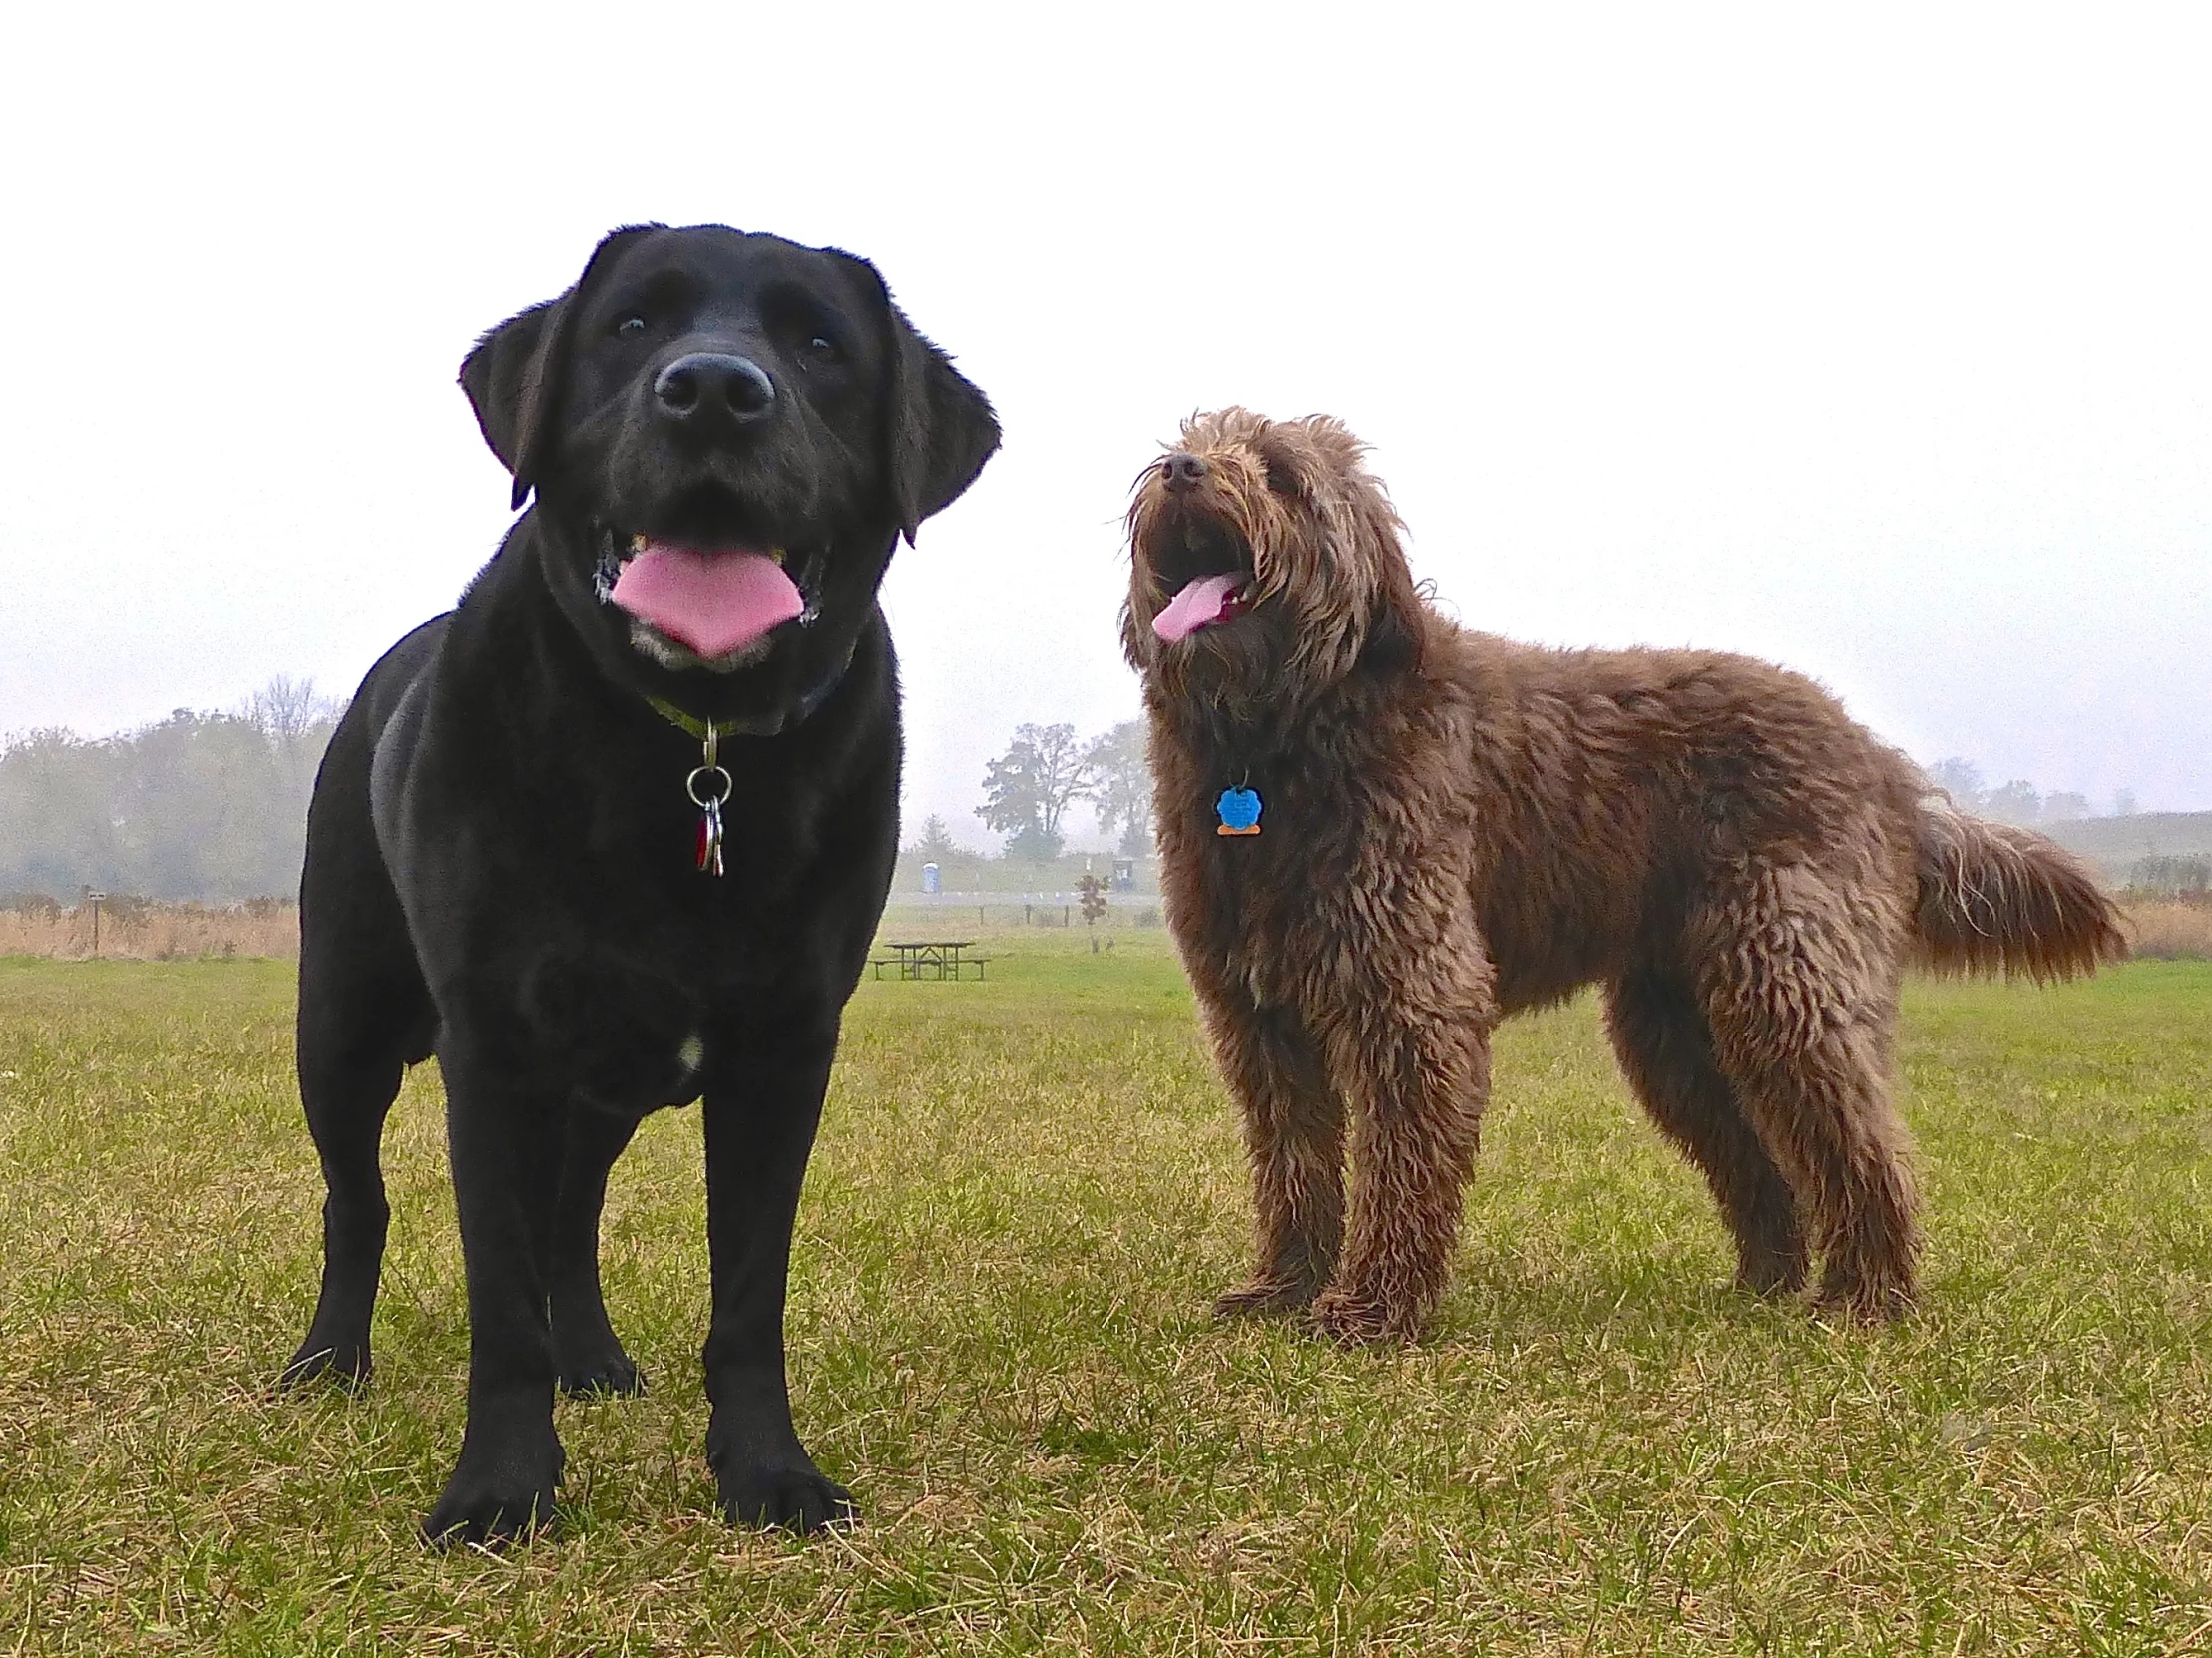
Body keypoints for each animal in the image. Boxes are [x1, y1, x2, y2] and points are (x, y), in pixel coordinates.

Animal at [284, 223, 1004, 1547]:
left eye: (819, 343)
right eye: (628, 325)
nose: (714, 388)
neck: (690, 751)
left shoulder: (784, 1046)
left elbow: (748, 1291)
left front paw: (770, 1474)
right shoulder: (495, 1047)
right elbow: (499, 1293)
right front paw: (497, 1490)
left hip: (605, 1084)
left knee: (573, 1217)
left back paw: (593, 1356)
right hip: (344, 1020)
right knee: (358, 1201)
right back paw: (327, 1362)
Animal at [1123, 408, 2123, 1344]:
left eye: (1280, 474)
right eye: (1195, 439)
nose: (1181, 470)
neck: (1281, 741)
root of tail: (1879, 761)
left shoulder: (1409, 993)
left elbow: (1399, 1164)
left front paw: (1375, 1307)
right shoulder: (1258, 1016)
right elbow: (1293, 1165)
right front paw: (1284, 1290)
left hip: (1788, 986)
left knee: (1859, 1147)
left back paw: (1866, 1299)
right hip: (1677, 1034)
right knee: (1761, 1164)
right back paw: (1763, 1287)